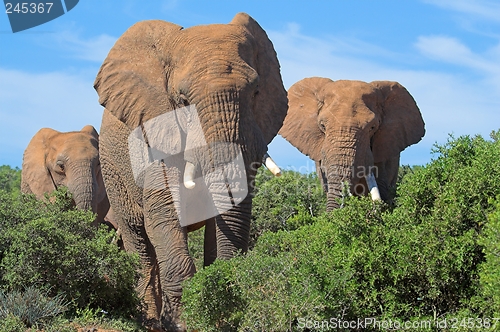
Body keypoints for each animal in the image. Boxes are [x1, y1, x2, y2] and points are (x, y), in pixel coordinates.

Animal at [93, 12, 288, 330]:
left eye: (256, 92)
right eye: (183, 101)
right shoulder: (154, 131)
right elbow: (164, 215)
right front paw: (183, 324)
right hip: (113, 168)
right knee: (139, 241)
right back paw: (149, 321)